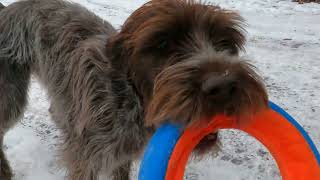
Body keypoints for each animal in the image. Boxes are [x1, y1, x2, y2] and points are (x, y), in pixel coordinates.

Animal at [0, 0, 268, 180]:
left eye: (225, 43)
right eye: (163, 44)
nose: (223, 86)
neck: (129, 101)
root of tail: (7, 10)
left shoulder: (122, 154)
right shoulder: (86, 158)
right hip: (10, 96)